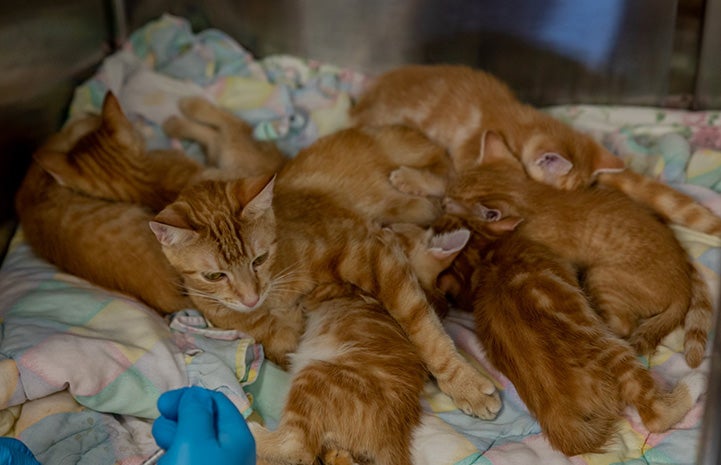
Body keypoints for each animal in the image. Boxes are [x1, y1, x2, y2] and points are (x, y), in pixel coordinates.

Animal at [438, 132, 716, 368]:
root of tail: (683, 288)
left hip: (603, 276)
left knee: (623, 325)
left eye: (448, 202)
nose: (441, 202)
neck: (531, 196)